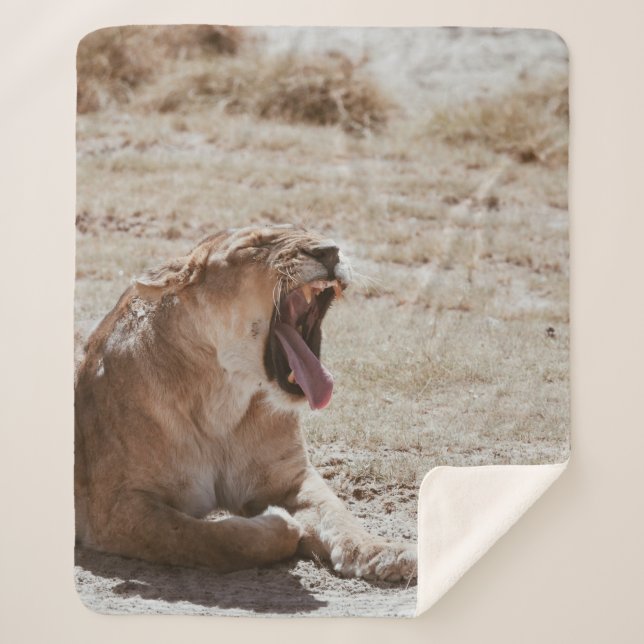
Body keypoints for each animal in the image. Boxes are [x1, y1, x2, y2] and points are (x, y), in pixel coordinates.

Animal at [75, 224, 417, 582]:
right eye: (256, 246)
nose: (330, 251)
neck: (223, 399)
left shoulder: (292, 477)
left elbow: (338, 515)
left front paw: (384, 551)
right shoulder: (115, 508)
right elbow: (210, 539)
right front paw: (280, 524)